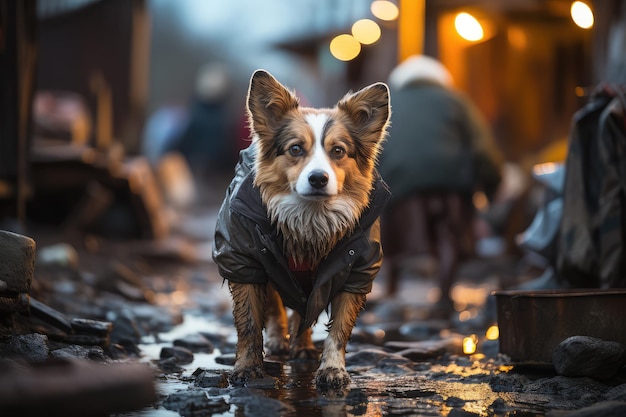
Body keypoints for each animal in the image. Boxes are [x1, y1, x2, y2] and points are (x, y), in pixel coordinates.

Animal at [212, 69, 388, 390]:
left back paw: (303, 347)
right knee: (277, 307)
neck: (310, 220)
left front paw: (332, 369)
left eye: (338, 151)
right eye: (295, 148)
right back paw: (280, 341)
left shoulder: (357, 271)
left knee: (303, 311)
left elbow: (339, 329)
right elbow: (249, 323)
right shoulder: (244, 262)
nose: (318, 178)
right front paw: (247, 367)